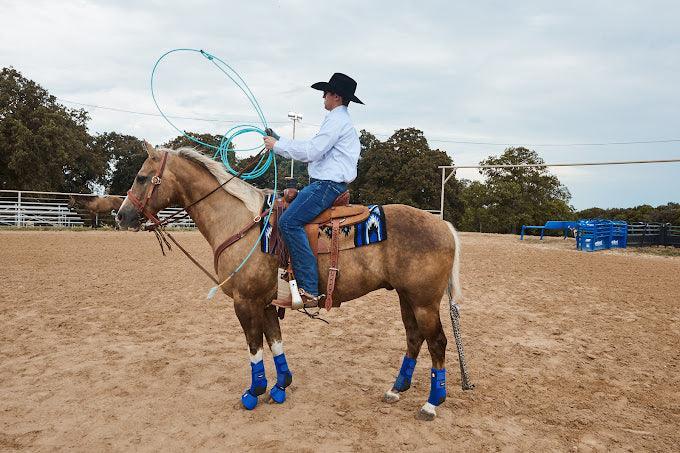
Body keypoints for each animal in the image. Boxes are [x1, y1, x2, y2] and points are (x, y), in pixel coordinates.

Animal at [115, 142, 472, 420]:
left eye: (141, 177)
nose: (121, 215)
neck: (242, 222)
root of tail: (443, 226)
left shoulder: (245, 302)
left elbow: (254, 346)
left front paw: (254, 391)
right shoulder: (266, 301)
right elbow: (274, 341)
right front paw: (280, 385)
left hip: (424, 301)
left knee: (437, 342)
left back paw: (431, 403)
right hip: (406, 296)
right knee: (414, 337)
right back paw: (396, 389)